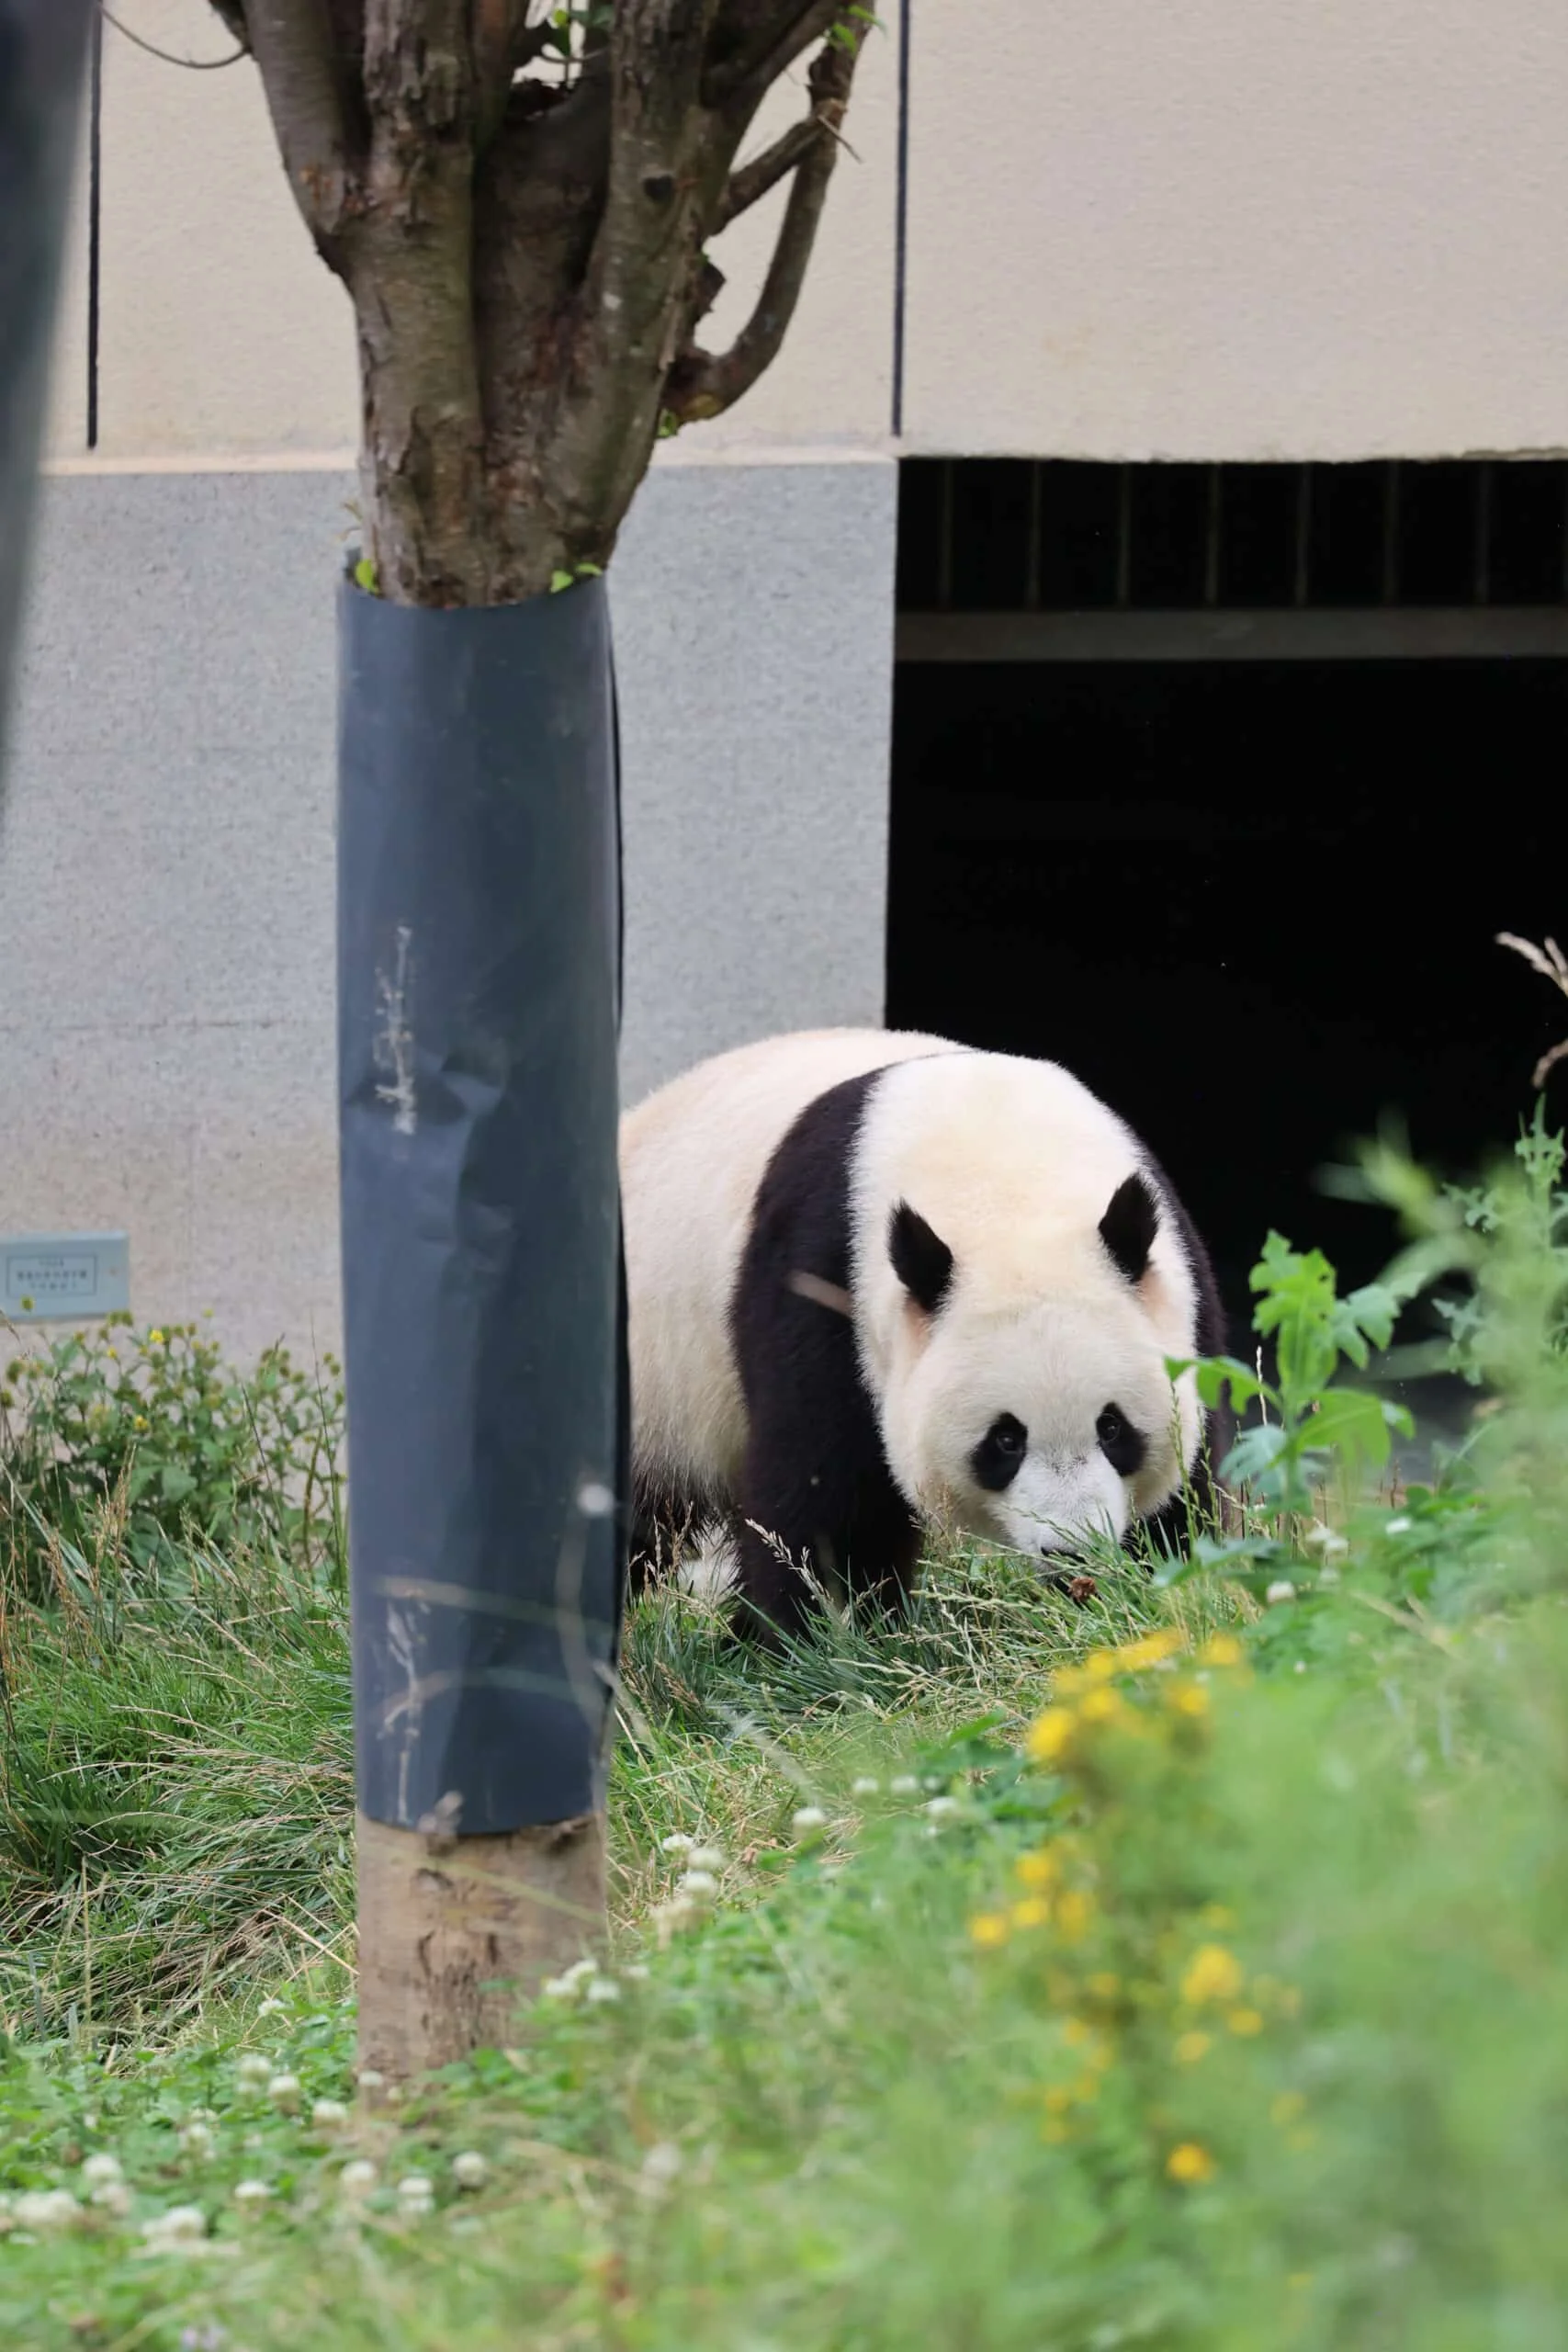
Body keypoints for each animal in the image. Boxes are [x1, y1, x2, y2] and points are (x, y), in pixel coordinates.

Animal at [621, 1027, 1228, 1637]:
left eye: (1112, 1427)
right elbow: (818, 1500)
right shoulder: (822, 1282)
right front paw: (816, 1638)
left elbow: (1188, 1489)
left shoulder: (1183, 1284)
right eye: (1005, 1440)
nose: (1072, 1552)